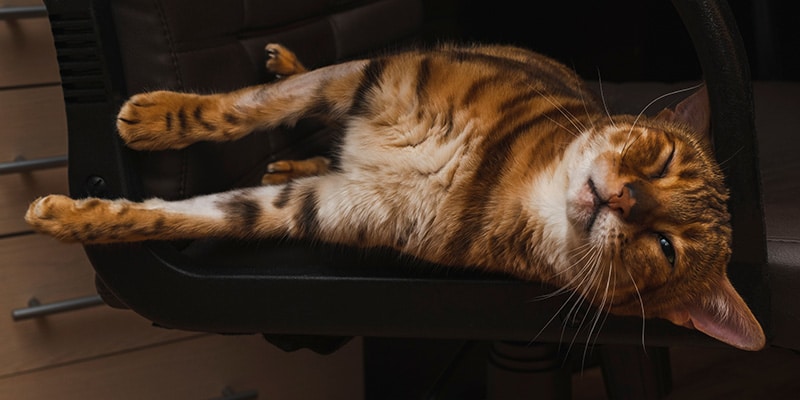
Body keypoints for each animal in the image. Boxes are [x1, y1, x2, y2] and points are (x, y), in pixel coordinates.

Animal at [23, 42, 764, 352]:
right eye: (661, 159)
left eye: (665, 247)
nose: (627, 197)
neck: (496, 174)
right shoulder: (373, 75)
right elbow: (246, 107)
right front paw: (159, 119)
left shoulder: (322, 207)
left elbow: (199, 216)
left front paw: (76, 219)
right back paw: (283, 73)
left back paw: (285, 159)